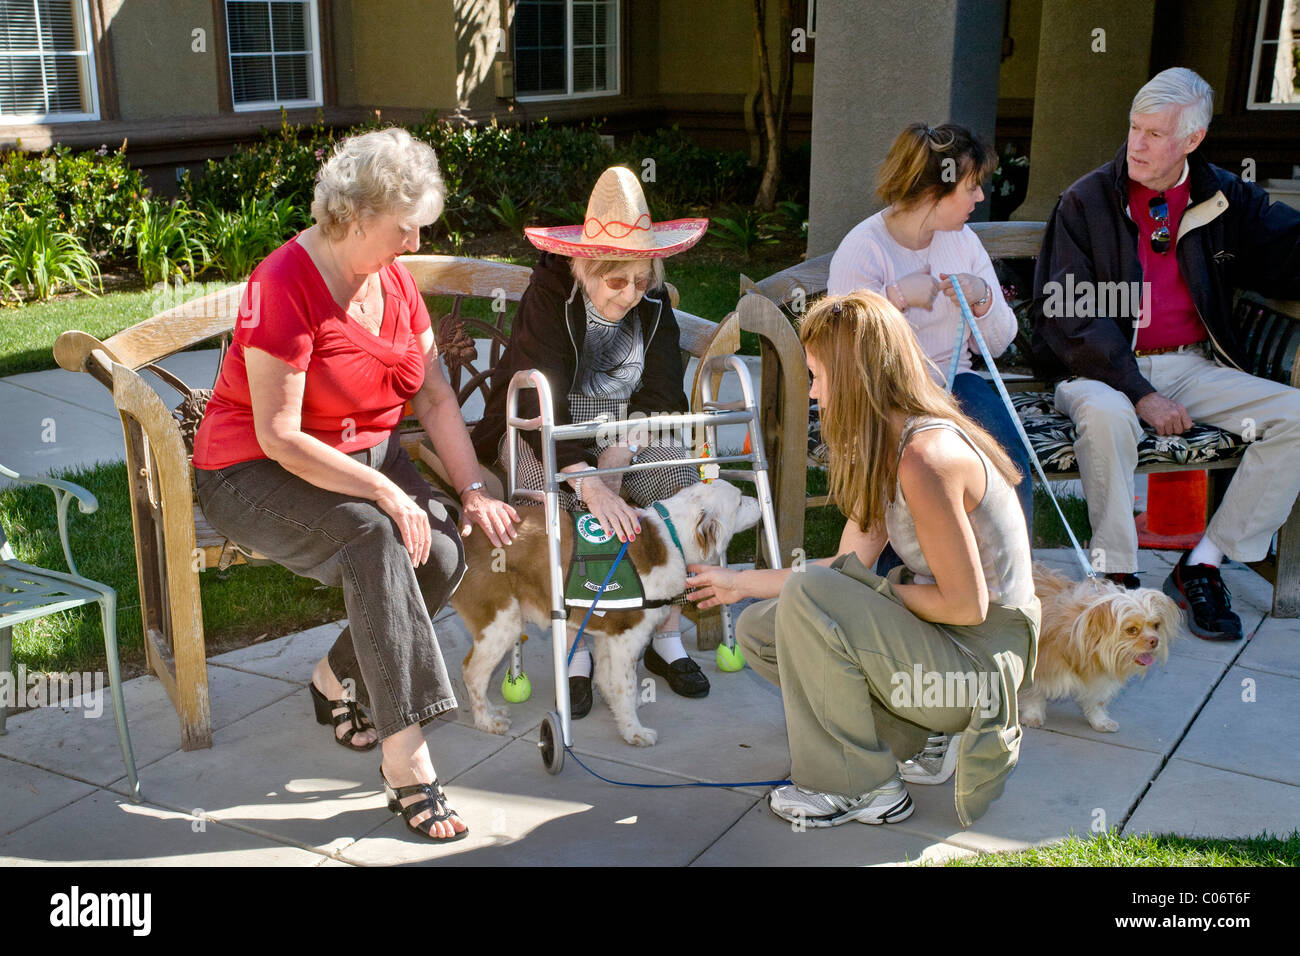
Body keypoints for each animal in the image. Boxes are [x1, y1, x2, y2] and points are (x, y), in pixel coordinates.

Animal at [454, 481, 759, 743]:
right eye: (740, 501)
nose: (757, 500)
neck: (672, 538)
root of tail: (462, 535)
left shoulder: (607, 632)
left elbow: (607, 678)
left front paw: (618, 710)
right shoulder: (628, 636)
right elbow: (626, 684)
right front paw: (633, 731)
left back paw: (492, 711)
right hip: (502, 623)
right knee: (471, 671)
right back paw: (487, 721)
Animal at [1019, 564, 1185, 738]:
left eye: (1156, 625)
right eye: (1132, 630)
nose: (1154, 641)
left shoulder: (1101, 679)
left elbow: (1096, 702)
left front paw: (1100, 721)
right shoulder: (1039, 665)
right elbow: (1034, 693)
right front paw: (1032, 715)